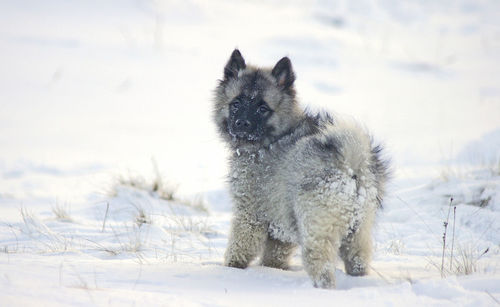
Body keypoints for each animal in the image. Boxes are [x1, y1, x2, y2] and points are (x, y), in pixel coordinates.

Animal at [213, 48, 388, 288]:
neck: (274, 138)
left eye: (262, 108)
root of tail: (351, 166)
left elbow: (239, 247)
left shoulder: (249, 213)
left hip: (315, 230)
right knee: (358, 261)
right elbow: (274, 255)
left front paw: (231, 269)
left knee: (322, 268)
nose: (241, 124)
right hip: (358, 233)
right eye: (236, 103)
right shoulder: (280, 225)